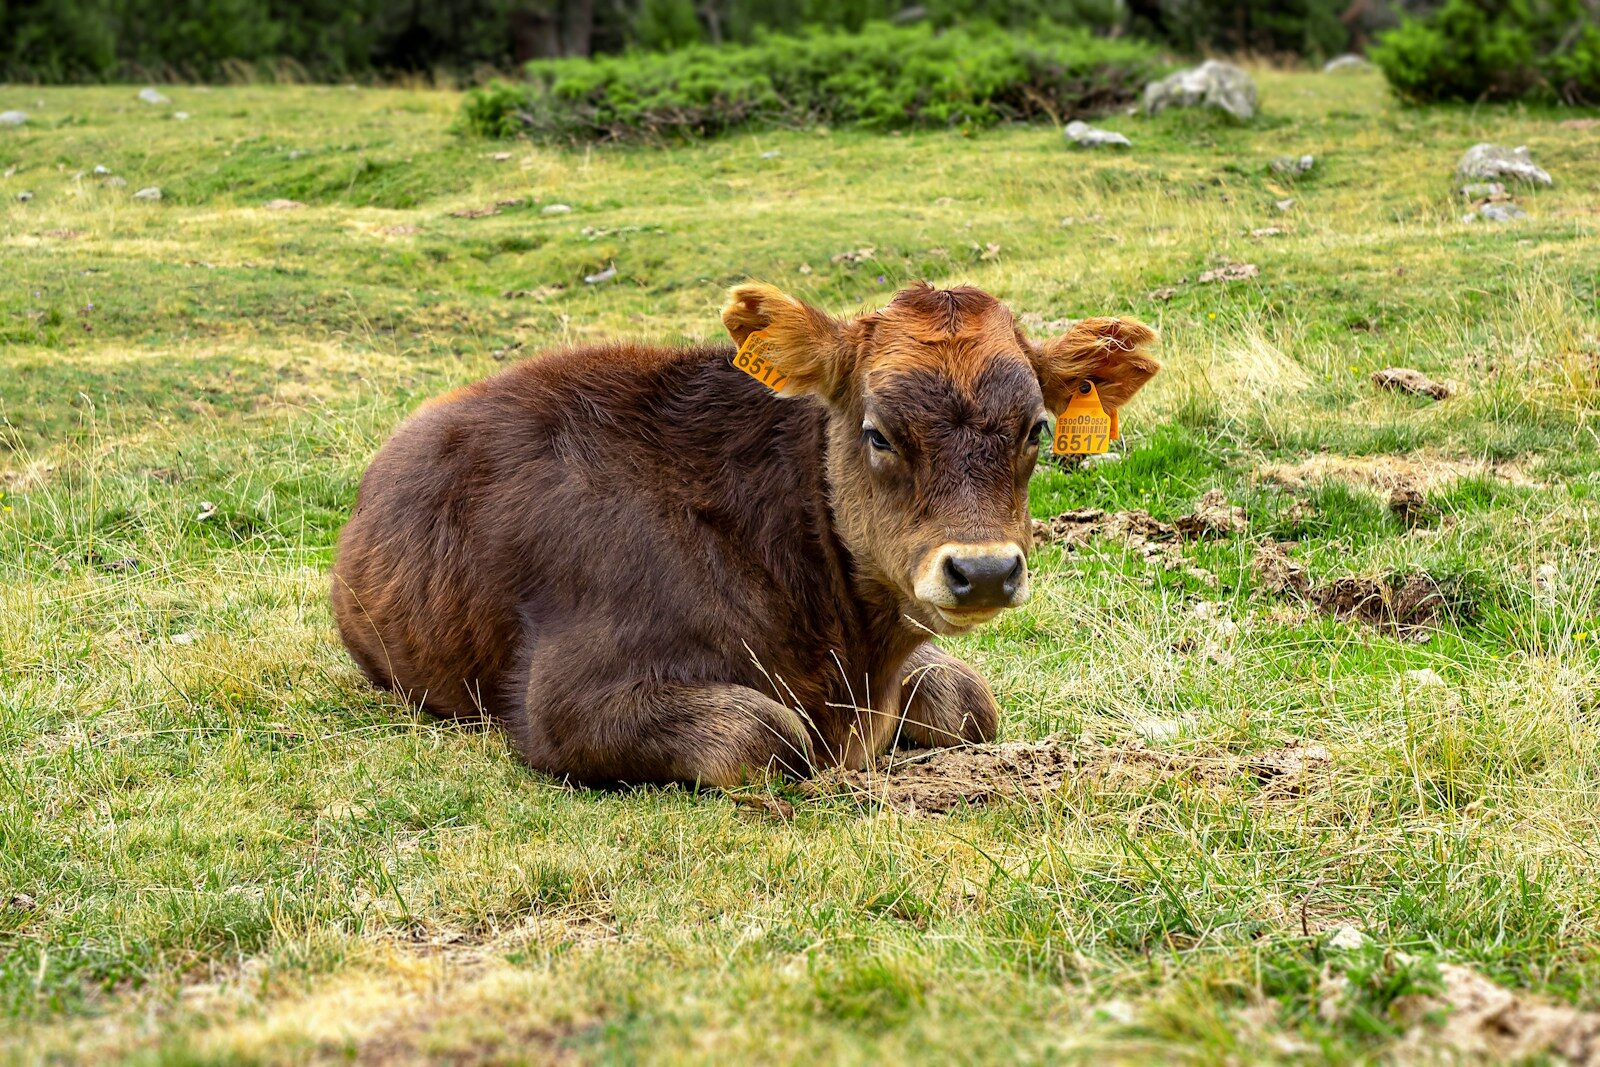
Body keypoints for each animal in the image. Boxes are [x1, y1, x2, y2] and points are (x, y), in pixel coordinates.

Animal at [330, 282, 1158, 787]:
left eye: (1036, 428)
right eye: (878, 432)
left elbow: (969, 698)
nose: (983, 571)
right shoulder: (566, 703)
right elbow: (769, 733)